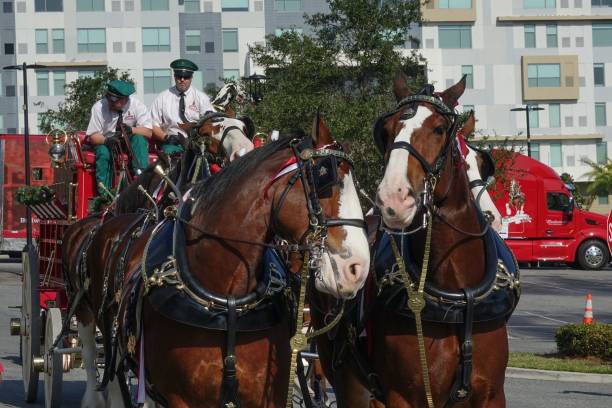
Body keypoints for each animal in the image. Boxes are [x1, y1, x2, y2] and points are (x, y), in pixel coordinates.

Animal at [314, 75, 520, 406]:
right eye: (385, 131)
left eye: (439, 129)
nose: (393, 198)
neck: (456, 296)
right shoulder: (405, 394)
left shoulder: (491, 394)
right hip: (349, 380)